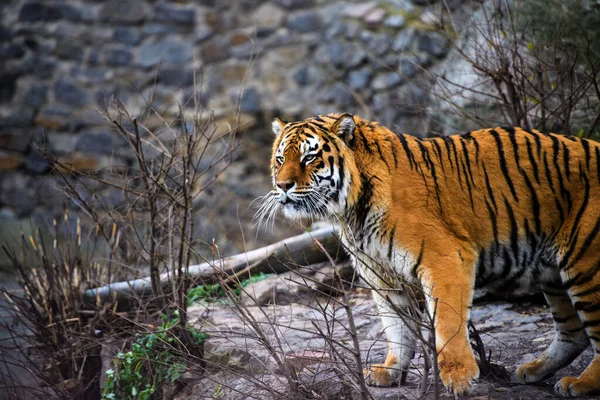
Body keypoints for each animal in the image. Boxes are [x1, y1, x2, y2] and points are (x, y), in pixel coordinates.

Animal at [255, 113, 600, 396]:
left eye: (309, 157)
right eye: (281, 158)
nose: (282, 185)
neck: (351, 214)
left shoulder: (445, 258)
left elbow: (447, 323)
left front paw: (460, 378)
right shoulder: (381, 274)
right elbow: (396, 327)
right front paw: (390, 371)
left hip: (586, 265)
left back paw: (581, 383)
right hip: (553, 274)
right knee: (573, 332)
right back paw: (534, 370)